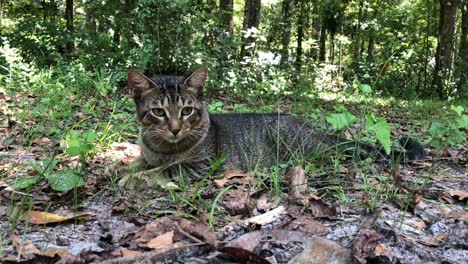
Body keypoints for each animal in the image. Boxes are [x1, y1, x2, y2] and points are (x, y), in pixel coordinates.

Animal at [118, 65, 424, 186]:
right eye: (158, 112)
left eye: (187, 111)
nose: (174, 128)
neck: (161, 148)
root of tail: (315, 130)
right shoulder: (149, 154)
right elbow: (139, 163)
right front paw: (118, 169)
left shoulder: (201, 166)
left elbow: (165, 170)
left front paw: (131, 178)